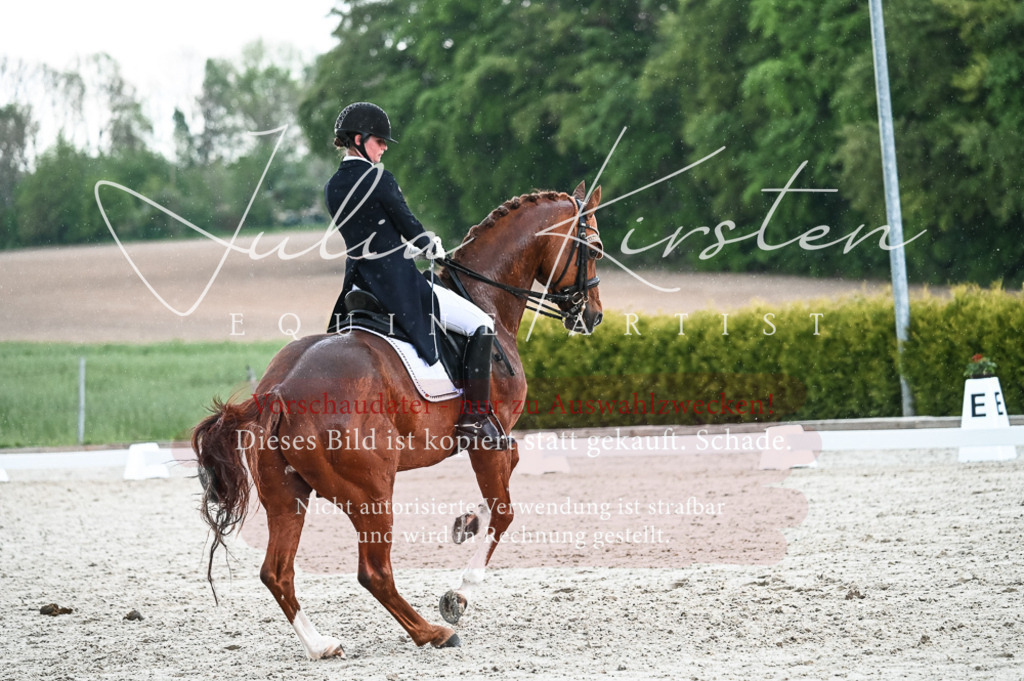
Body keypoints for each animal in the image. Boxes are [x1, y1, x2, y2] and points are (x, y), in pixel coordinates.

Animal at [192, 181, 604, 659]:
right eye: (594, 248)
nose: (591, 316)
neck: (485, 297)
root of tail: (280, 390)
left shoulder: (494, 441)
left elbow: (505, 481)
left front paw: (466, 522)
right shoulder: (486, 438)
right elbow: (504, 512)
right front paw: (459, 595)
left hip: (287, 494)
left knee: (277, 571)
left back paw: (321, 645)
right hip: (370, 492)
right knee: (373, 571)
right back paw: (432, 633)